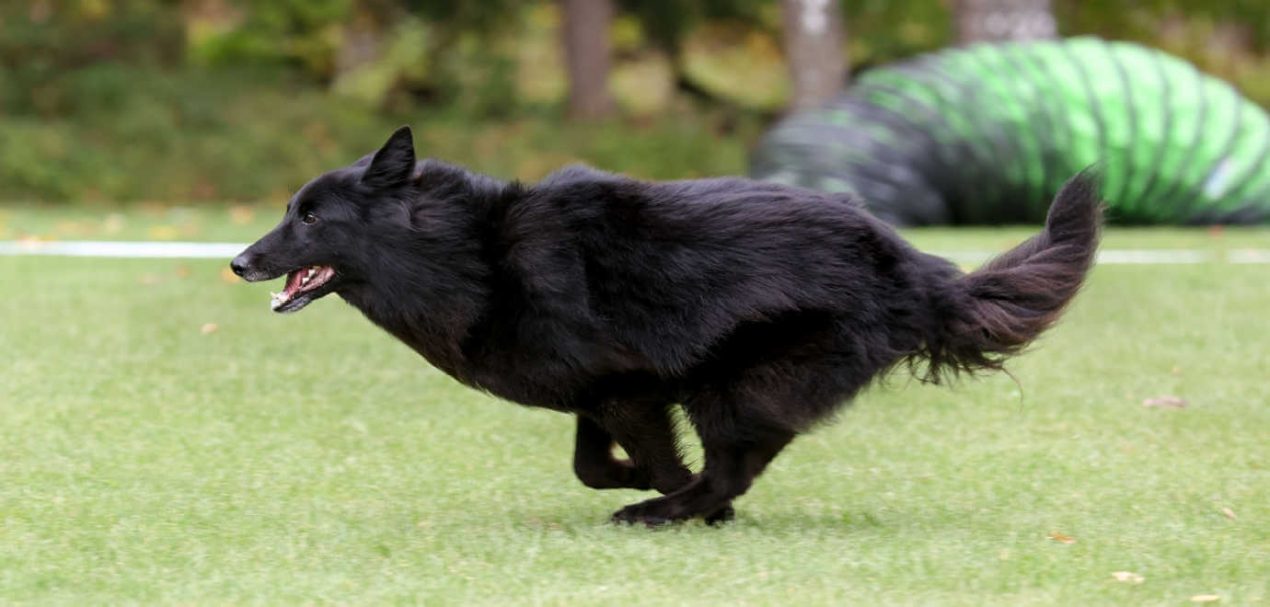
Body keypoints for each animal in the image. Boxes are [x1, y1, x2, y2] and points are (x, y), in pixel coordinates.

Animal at [231, 126, 1102, 525]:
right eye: (289, 209)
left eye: (312, 217)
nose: (238, 260)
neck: (471, 255)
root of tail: (913, 266)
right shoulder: (602, 391)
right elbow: (591, 463)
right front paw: (642, 481)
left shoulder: (633, 389)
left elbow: (646, 460)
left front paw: (664, 490)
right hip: (742, 383)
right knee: (749, 454)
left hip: (738, 379)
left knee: (736, 461)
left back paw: (671, 510)